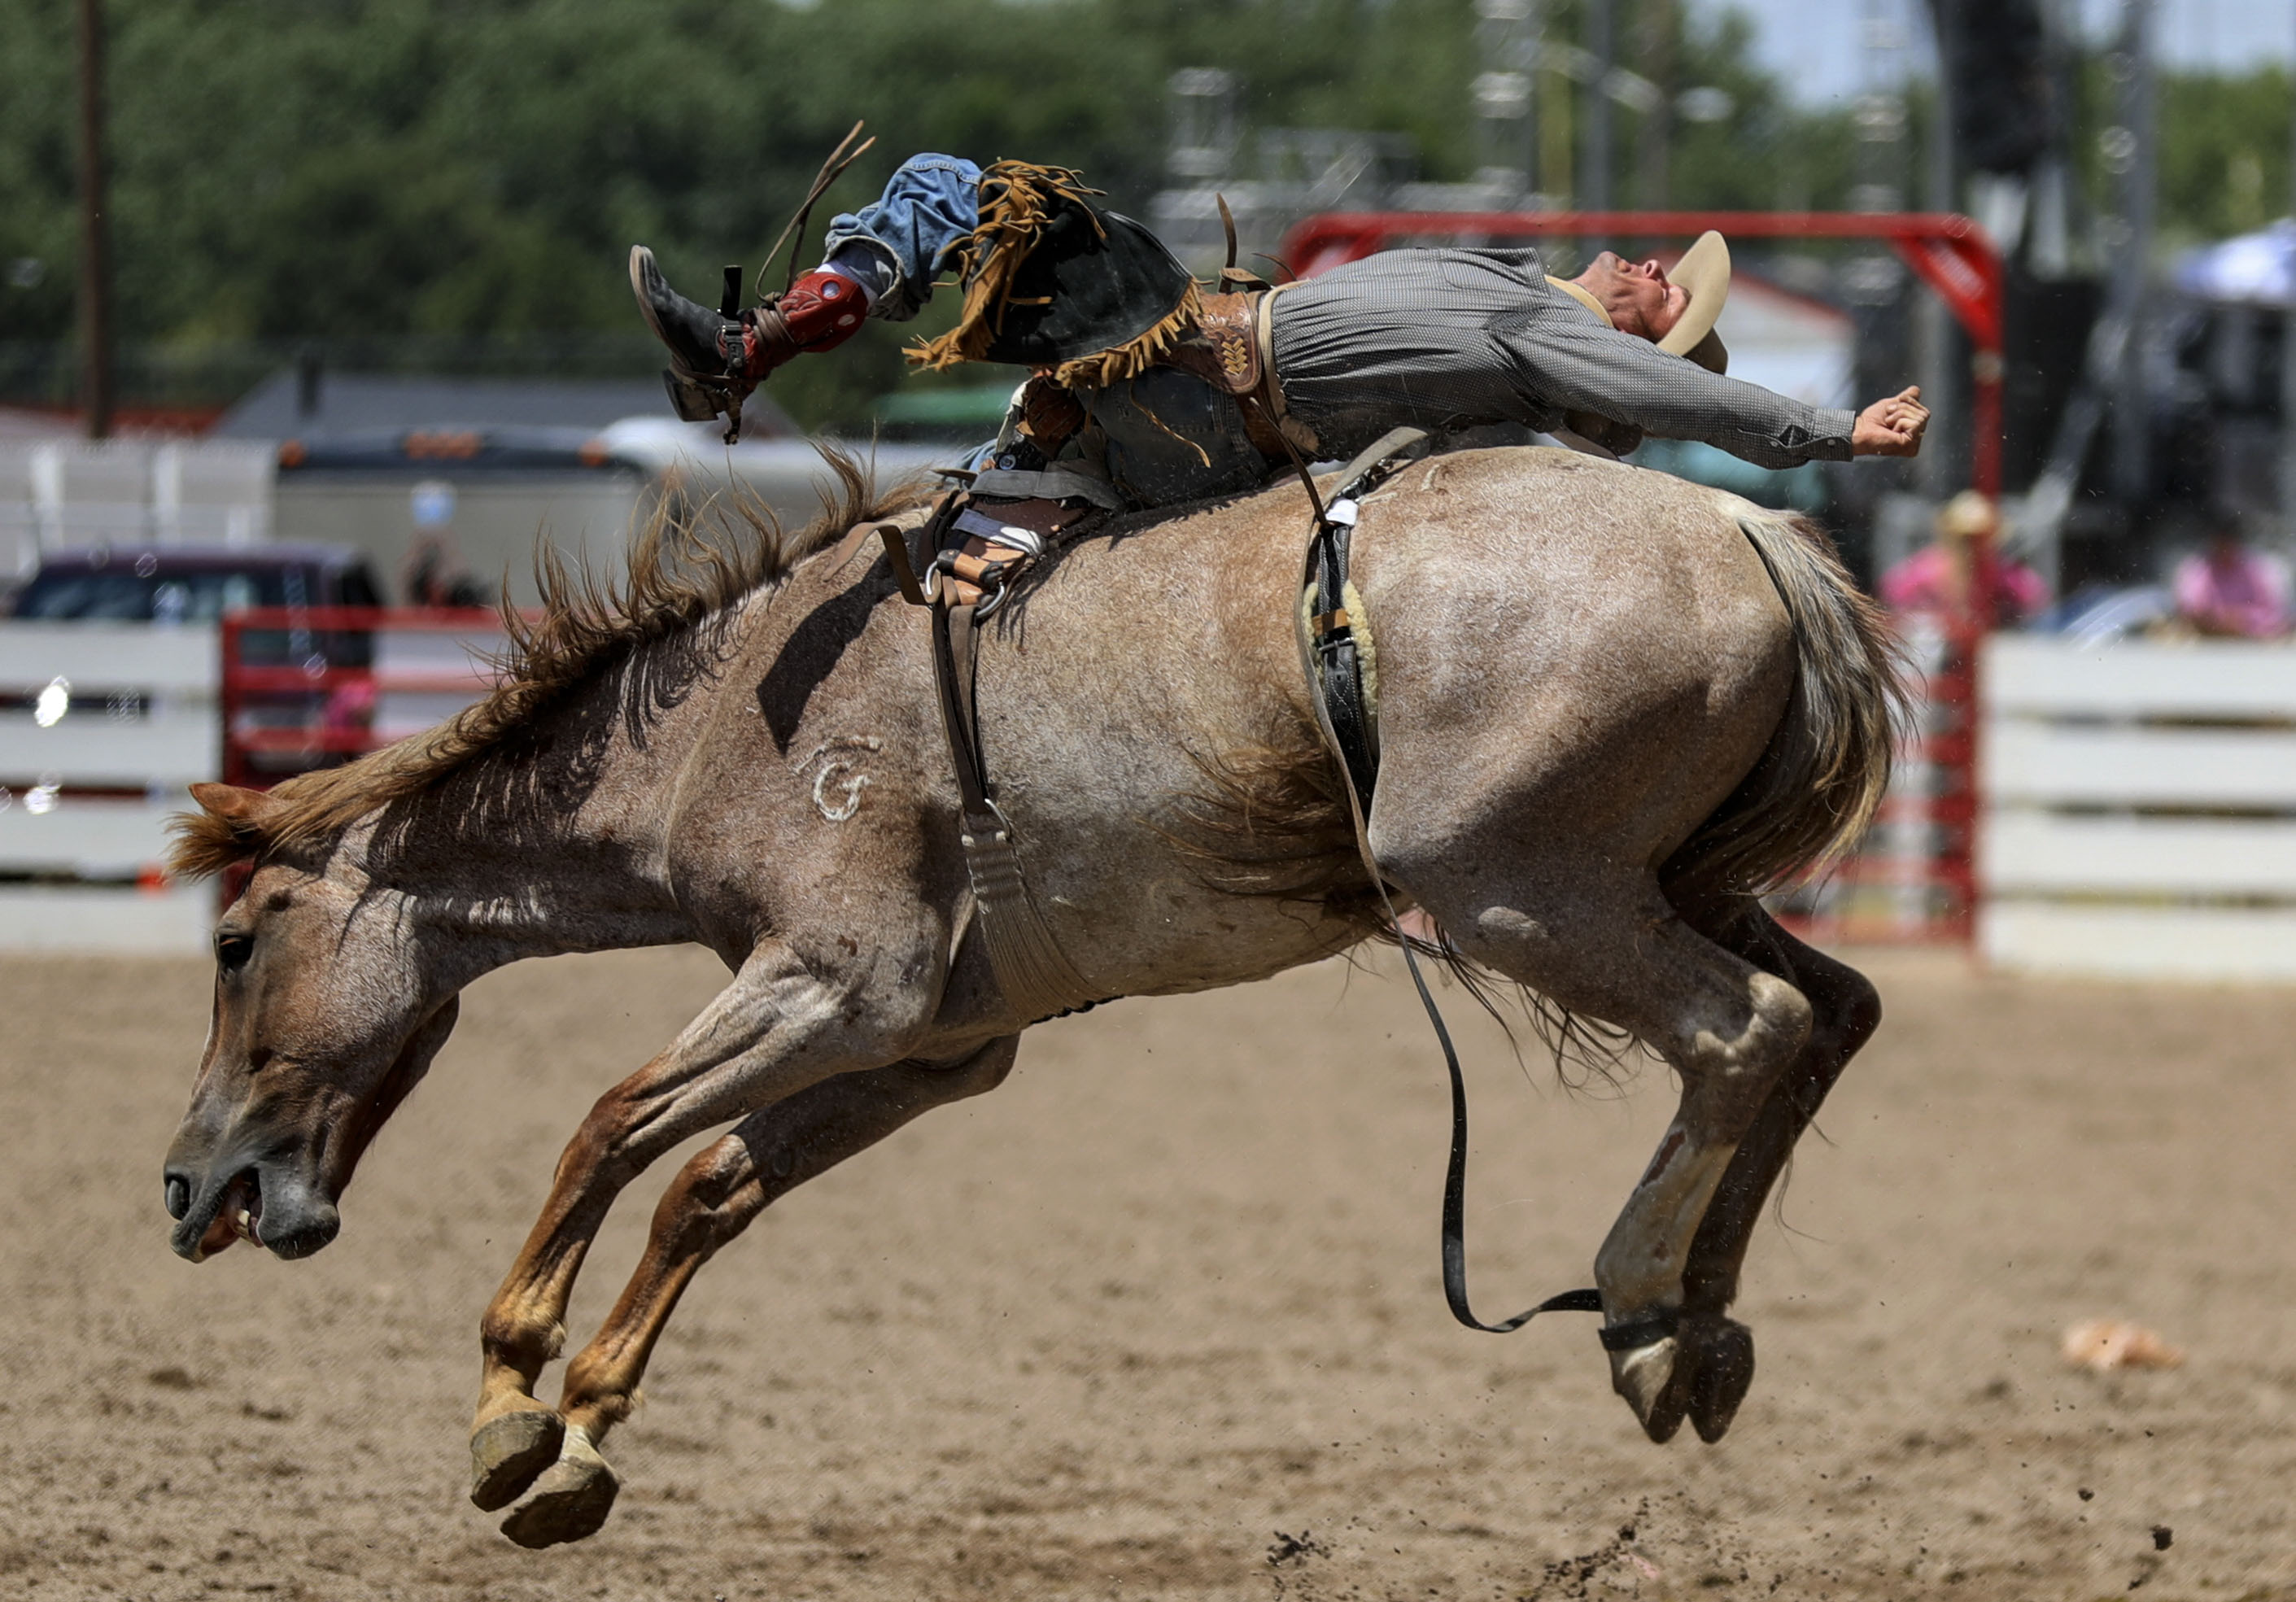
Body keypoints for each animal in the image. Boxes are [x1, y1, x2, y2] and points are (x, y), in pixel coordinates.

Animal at [157, 443, 1901, 1542]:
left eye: (236, 939)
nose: (190, 1183)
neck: (726, 722)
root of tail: (1756, 537)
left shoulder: (831, 987)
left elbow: (610, 1123)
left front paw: (508, 1399)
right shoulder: (931, 1046)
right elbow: (709, 1183)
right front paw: (580, 1435)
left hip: (1518, 885)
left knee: (1743, 1028)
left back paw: (1640, 1300)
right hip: (1663, 882)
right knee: (1829, 1013)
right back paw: (1699, 1327)